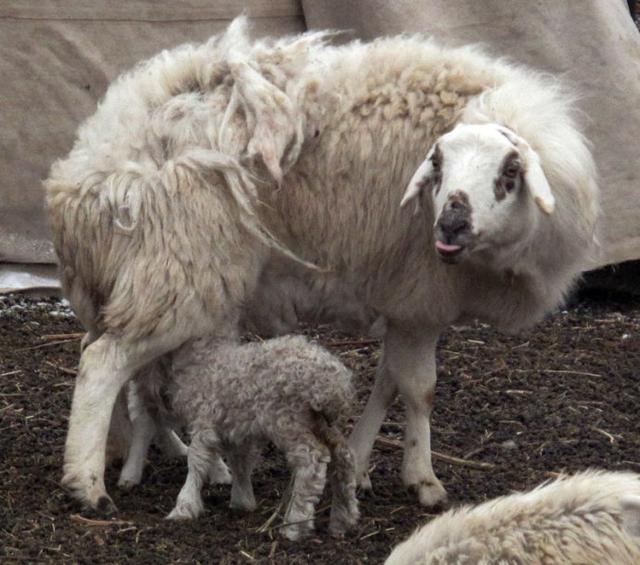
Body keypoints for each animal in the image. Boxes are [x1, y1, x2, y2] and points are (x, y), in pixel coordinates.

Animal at [45, 17, 600, 512]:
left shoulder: (404, 302)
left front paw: (359, 460)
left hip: (141, 281)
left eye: (510, 172)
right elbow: (419, 389)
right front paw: (423, 479)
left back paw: (142, 453)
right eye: (437, 165)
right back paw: (88, 484)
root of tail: (87, 167)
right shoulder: (421, 296)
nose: (450, 225)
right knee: (103, 365)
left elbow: (388, 382)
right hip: (175, 272)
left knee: (113, 360)